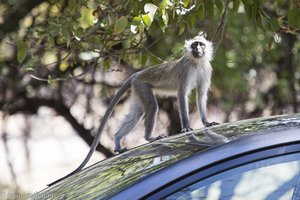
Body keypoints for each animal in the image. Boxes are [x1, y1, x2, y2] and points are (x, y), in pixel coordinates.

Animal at [48, 35, 219, 187]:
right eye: (194, 45)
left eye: (201, 44)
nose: (197, 49)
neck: (197, 63)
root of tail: (136, 74)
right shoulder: (186, 70)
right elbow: (182, 95)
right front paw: (186, 127)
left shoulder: (207, 69)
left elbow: (201, 95)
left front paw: (206, 122)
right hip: (142, 85)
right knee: (152, 107)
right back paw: (149, 137)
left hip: (138, 89)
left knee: (138, 113)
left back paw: (118, 140)